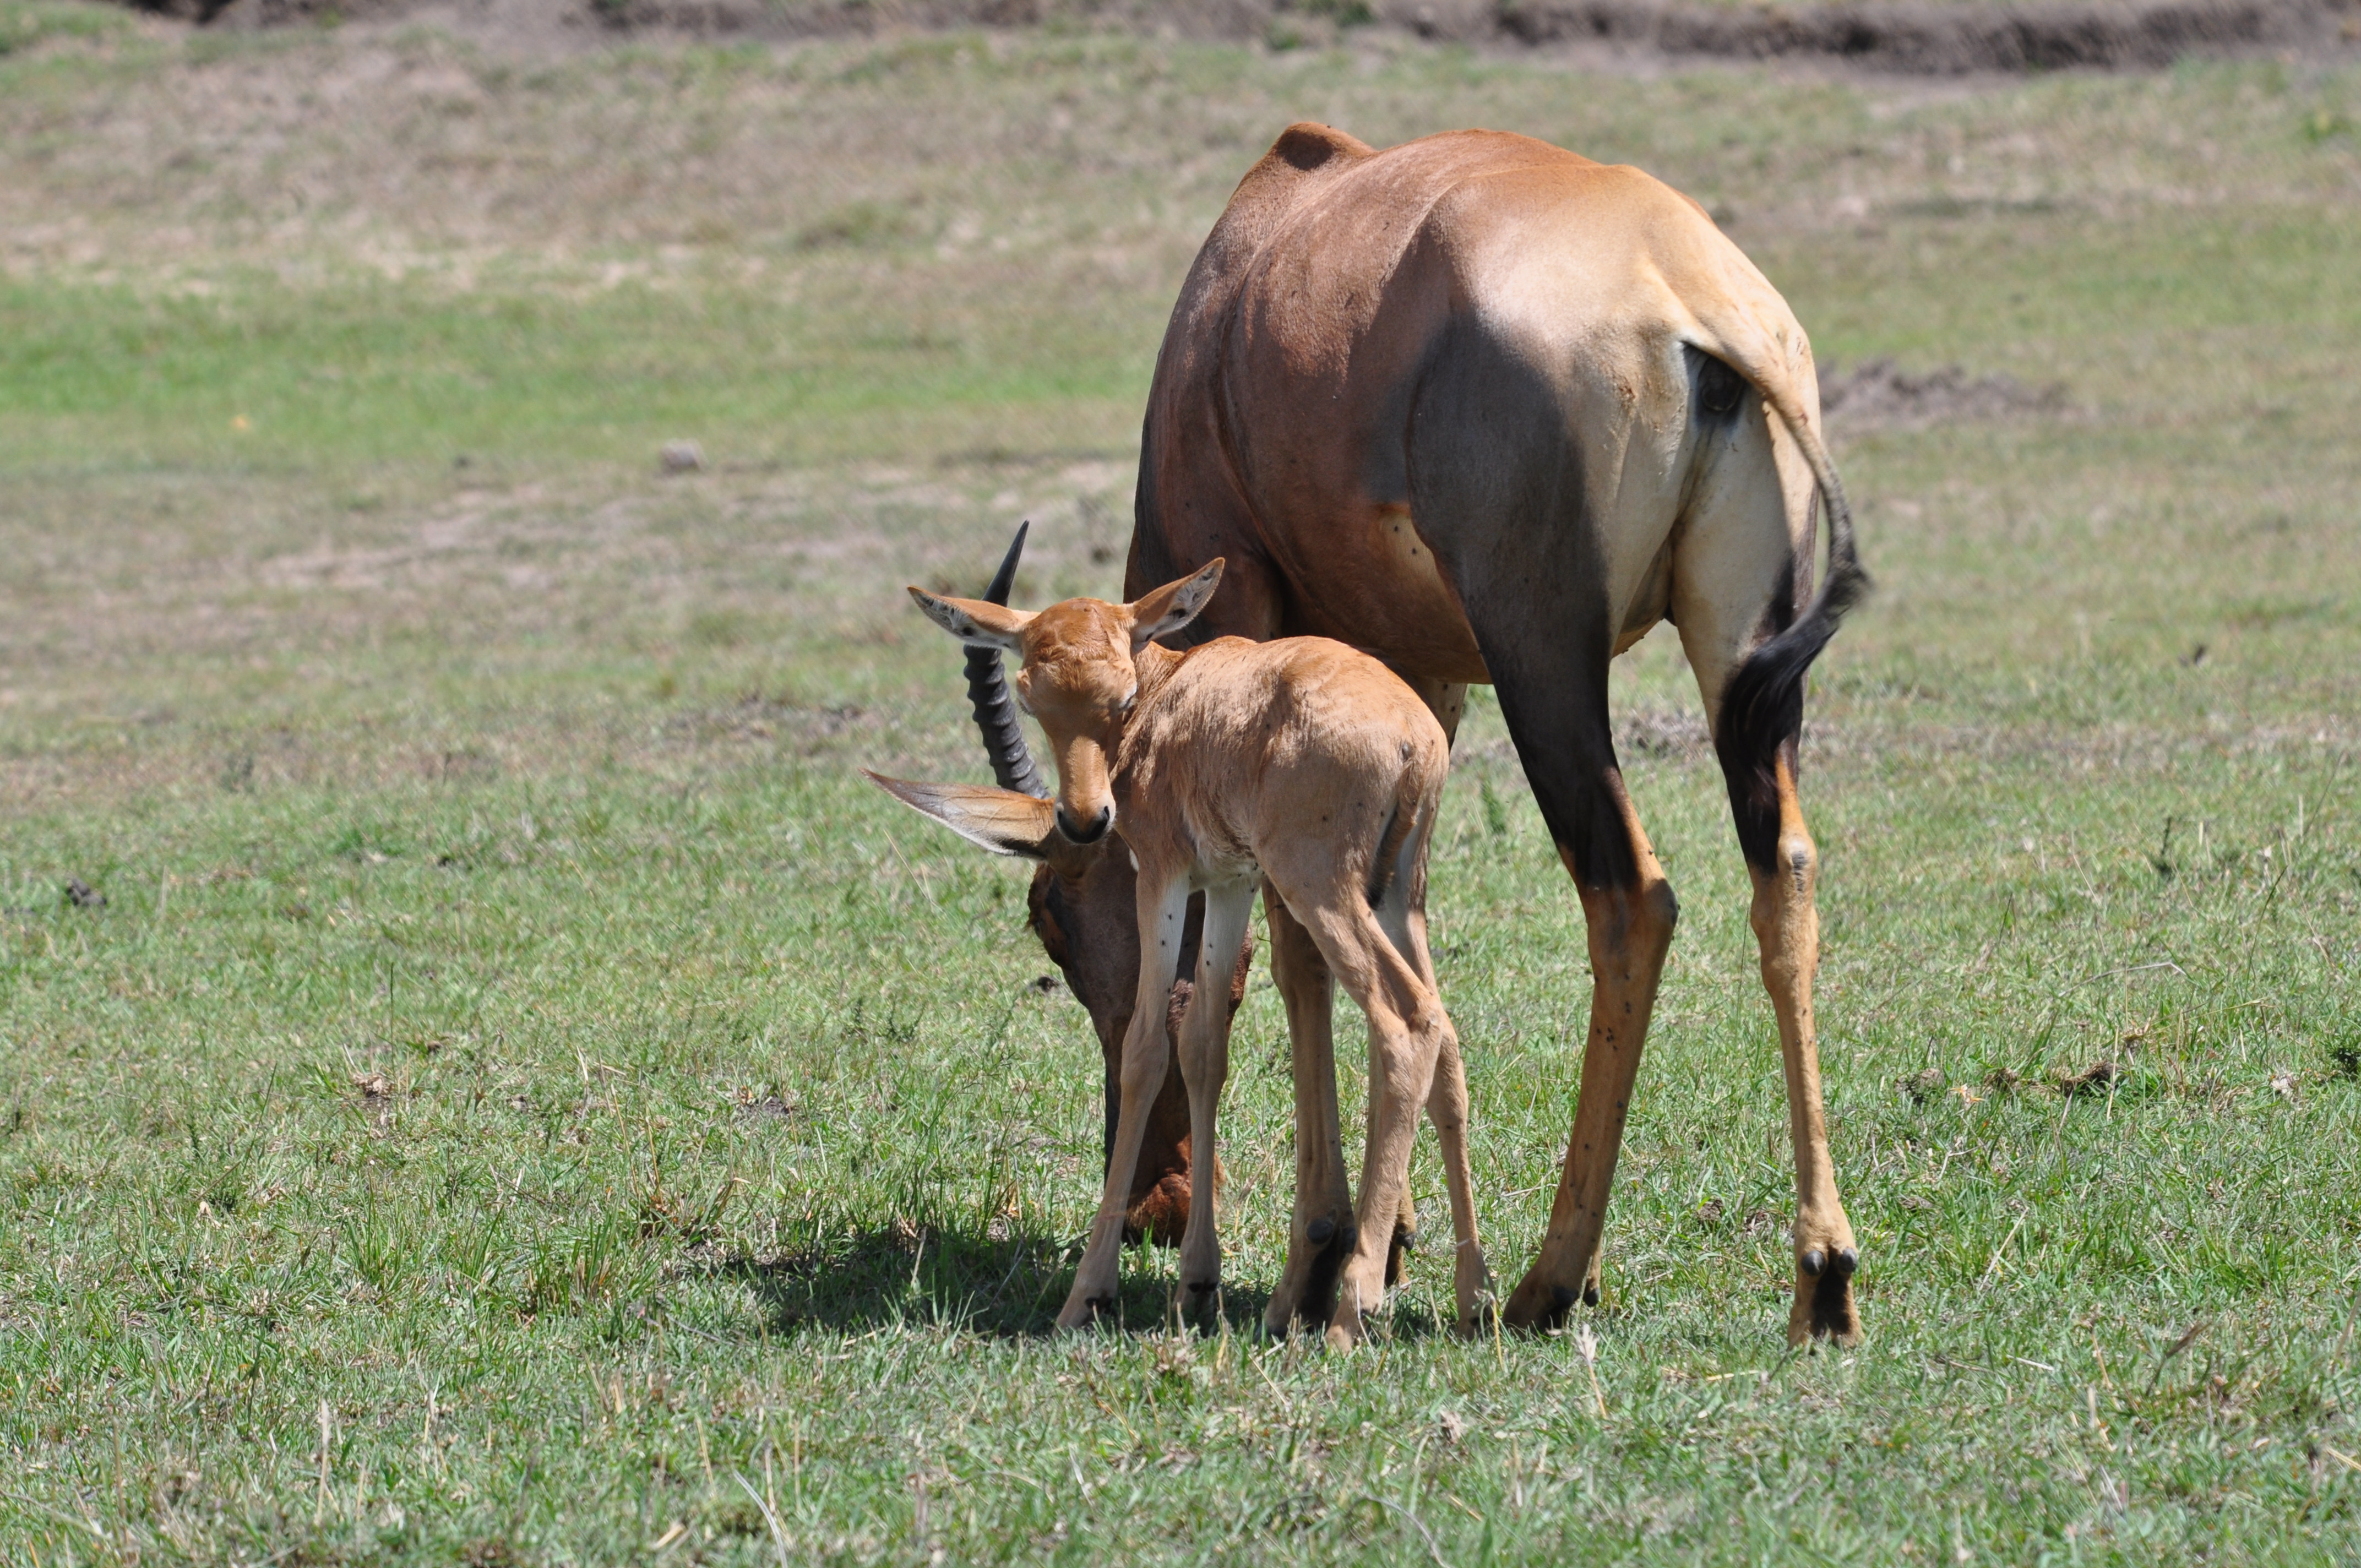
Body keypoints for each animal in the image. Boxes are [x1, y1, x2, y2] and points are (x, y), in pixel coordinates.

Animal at [878, 564, 1482, 1351]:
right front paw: (1196, 1283)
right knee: (1446, 1032)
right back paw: (1475, 1294)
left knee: (1404, 1021)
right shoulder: (1228, 881)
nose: (1086, 819)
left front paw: (1088, 1294)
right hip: (1399, 893)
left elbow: (1145, 1048)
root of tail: (1413, 734)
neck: (1175, 688)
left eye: (1121, 692)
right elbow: (1202, 1045)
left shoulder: (1163, 875)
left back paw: (1352, 1309)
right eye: (1032, 694)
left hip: (1323, 888)